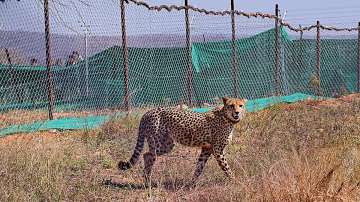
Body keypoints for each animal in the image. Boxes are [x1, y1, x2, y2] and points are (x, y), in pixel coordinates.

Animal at [118, 97, 248, 187]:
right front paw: (235, 181)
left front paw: (192, 184)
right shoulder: (218, 150)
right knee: (149, 155)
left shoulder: (206, 149)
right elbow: (226, 167)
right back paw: (148, 181)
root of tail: (148, 112)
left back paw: (147, 181)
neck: (227, 118)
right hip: (157, 142)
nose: (237, 112)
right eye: (231, 106)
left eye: (240, 105)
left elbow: (199, 167)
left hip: (167, 145)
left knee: (146, 155)